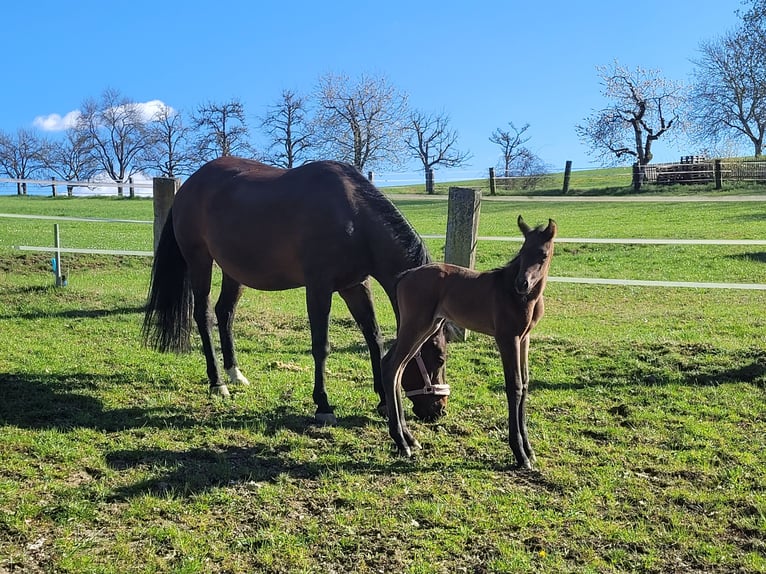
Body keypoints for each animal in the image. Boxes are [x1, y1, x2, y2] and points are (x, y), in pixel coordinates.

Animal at [142, 157, 449, 424]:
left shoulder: (355, 286)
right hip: (199, 261)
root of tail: (190, 185)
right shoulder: (318, 288)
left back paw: (234, 373)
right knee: (203, 315)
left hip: (233, 271)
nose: (439, 410)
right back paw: (217, 383)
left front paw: (383, 400)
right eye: (439, 357)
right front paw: (323, 405)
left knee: (224, 313)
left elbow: (374, 338)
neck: (353, 216)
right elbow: (321, 347)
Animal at [381, 215, 556, 469]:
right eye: (522, 252)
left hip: (426, 327)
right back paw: (402, 442)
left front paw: (529, 450)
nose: (522, 284)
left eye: (542, 255)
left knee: (397, 368)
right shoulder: (507, 338)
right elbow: (513, 385)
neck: (516, 296)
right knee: (392, 367)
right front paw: (520, 454)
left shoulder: (524, 338)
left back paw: (409, 439)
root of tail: (405, 275)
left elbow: (524, 384)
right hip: (416, 325)